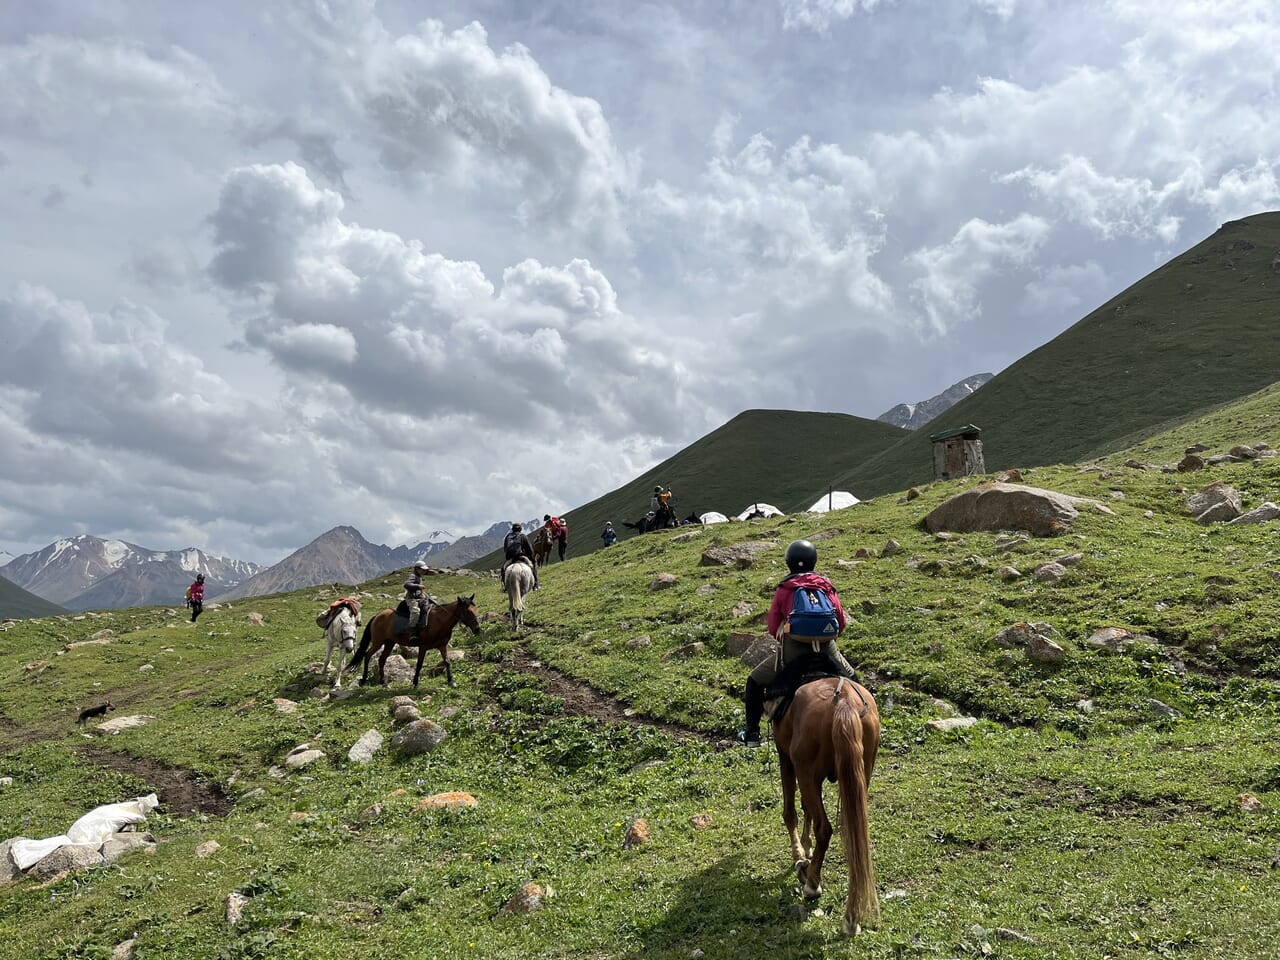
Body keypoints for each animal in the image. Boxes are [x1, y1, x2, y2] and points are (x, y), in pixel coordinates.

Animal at [348, 599, 481, 686]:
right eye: (468, 611)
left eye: (475, 609)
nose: (477, 629)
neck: (439, 621)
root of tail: (377, 616)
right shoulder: (423, 647)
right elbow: (419, 664)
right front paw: (415, 682)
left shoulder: (442, 646)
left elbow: (447, 662)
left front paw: (451, 681)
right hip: (378, 642)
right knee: (367, 655)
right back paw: (363, 680)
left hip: (389, 643)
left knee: (381, 659)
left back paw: (383, 681)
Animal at [768, 675, 880, 942]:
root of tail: (845, 702)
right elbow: (806, 808)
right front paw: (806, 847)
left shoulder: (787, 759)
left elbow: (791, 811)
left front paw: (800, 854)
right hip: (860, 773)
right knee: (854, 837)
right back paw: (852, 917)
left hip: (806, 770)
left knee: (824, 828)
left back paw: (812, 884)